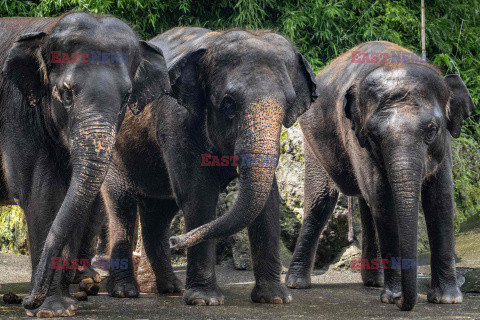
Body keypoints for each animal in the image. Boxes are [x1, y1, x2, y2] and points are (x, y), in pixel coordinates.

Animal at [0, 13, 171, 318]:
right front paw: (53, 310)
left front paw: (61, 306)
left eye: (127, 97)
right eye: (66, 93)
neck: (49, 27)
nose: (26, 301)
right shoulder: (18, 113)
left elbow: (72, 196)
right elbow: (40, 193)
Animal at [103, 26, 316, 304]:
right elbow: (198, 196)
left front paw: (275, 299)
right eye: (228, 103)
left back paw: (170, 287)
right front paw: (204, 300)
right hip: (113, 151)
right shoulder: (176, 123)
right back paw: (125, 292)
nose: (176, 241)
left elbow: (269, 201)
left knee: (158, 211)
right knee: (122, 207)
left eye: (288, 103)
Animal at [284, 41, 474, 312]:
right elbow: (384, 200)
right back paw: (297, 284)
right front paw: (394, 297)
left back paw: (374, 282)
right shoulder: (357, 137)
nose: (405, 303)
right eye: (374, 135)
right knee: (321, 202)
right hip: (313, 140)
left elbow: (441, 200)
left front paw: (448, 299)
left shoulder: (444, 144)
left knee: (365, 202)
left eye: (432, 131)